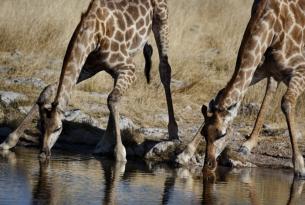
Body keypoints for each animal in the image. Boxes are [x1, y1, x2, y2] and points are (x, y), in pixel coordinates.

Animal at [0, 0, 178, 161]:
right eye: (41, 126)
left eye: (58, 128)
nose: (43, 154)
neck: (93, 35)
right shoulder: (88, 67)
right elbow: (48, 88)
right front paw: (9, 141)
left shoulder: (130, 68)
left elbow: (112, 98)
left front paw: (120, 155)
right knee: (116, 94)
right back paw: (104, 144)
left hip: (161, 19)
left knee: (164, 69)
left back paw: (173, 132)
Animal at [179, 0, 305, 177]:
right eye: (204, 132)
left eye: (222, 133)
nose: (208, 165)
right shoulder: (259, 69)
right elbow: (221, 93)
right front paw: (185, 154)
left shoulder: (300, 71)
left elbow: (286, 103)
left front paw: (300, 166)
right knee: (270, 88)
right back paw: (248, 144)